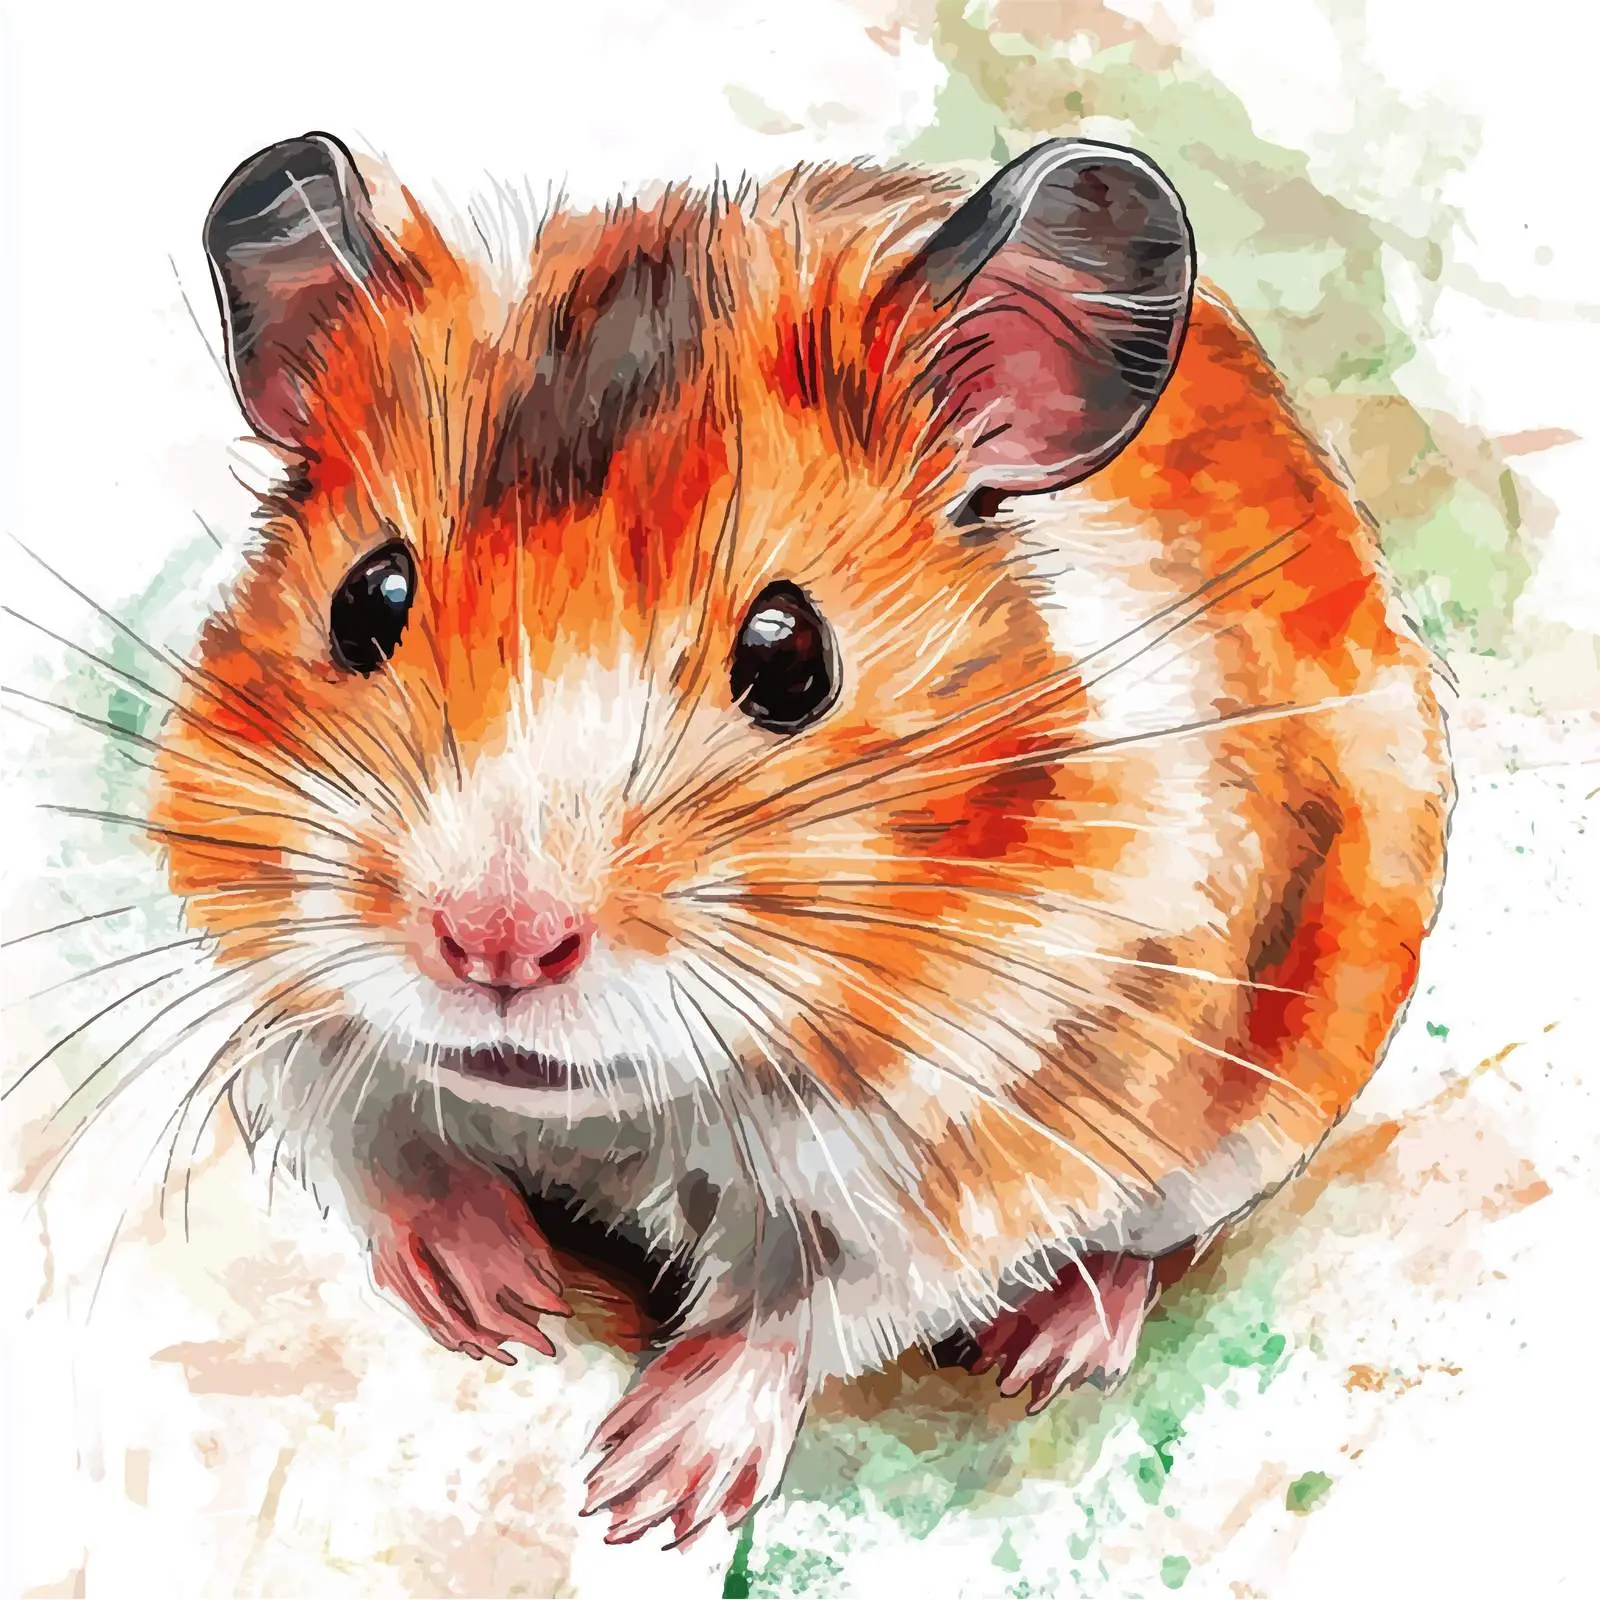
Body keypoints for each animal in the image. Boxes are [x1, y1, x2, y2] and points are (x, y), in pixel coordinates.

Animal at [150, 130, 1452, 1549]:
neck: (637, 1107)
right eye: (366, 601)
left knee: (1147, 1240)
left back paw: (1055, 1342)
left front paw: (645, 1488)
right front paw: (499, 1304)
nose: (493, 945)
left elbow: (802, 1306)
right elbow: (384, 1149)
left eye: (791, 656)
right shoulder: (296, 1017)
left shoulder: (982, 1140)